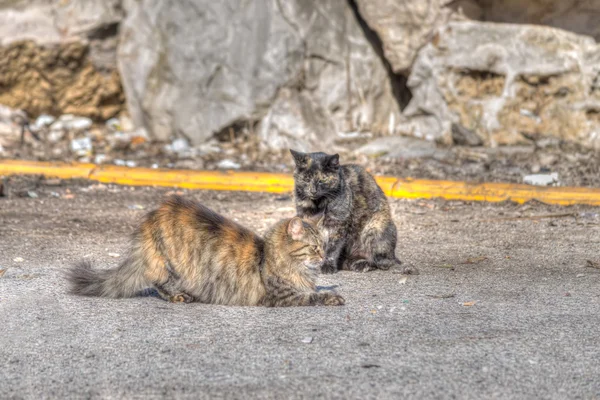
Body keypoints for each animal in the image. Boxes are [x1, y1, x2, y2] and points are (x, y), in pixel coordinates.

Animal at [66, 195, 344, 308]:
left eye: (324, 246)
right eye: (314, 248)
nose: (324, 257)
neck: (268, 257)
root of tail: (152, 218)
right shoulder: (282, 296)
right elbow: (312, 296)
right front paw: (332, 297)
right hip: (174, 263)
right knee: (158, 281)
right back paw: (180, 296)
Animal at [290, 148, 418, 276]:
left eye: (323, 179)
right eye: (306, 179)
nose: (313, 191)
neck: (317, 205)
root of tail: (394, 255)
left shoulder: (338, 225)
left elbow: (331, 249)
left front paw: (327, 266)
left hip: (374, 227)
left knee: (382, 262)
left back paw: (362, 264)